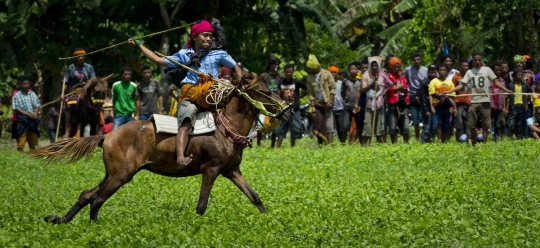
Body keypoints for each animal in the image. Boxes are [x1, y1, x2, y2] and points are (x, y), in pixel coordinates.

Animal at [29, 73, 294, 223]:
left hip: (115, 173)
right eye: (266, 91)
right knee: (96, 199)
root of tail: (108, 135)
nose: (289, 111)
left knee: (88, 195)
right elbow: (201, 205)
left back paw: (63, 220)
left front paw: (270, 221)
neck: (225, 129)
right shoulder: (211, 170)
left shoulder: (231, 171)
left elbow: (255, 197)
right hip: (121, 174)